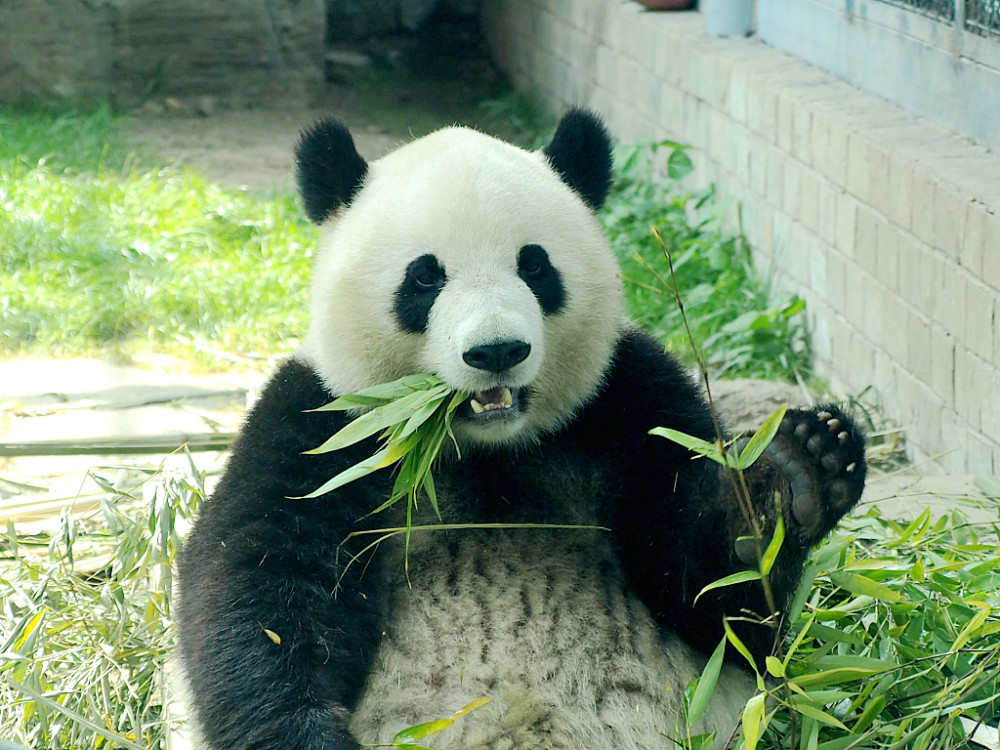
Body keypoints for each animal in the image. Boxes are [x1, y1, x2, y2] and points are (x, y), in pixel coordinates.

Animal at [176, 107, 864, 750]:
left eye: (534, 266)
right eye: (425, 275)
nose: (496, 350)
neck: (484, 447)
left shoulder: (630, 402)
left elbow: (715, 598)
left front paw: (791, 481)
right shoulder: (326, 426)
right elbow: (261, 584)